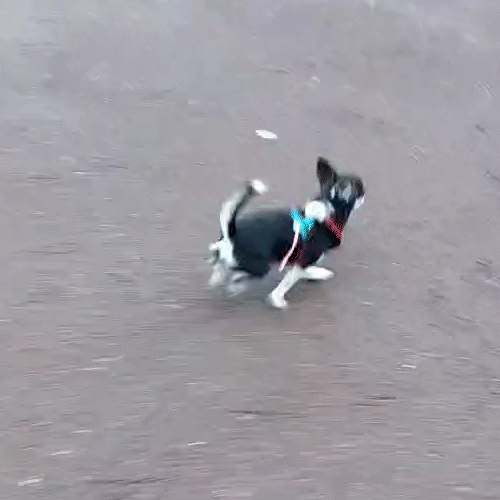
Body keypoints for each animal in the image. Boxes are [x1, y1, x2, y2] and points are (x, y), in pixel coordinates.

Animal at [207, 156, 365, 309]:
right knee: (237, 274)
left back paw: (217, 277)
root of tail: (231, 234)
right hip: (260, 267)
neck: (327, 213)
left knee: (220, 264)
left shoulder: (300, 260)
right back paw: (235, 283)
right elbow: (289, 281)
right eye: (360, 189)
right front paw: (278, 300)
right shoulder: (303, 261)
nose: (365, 191)